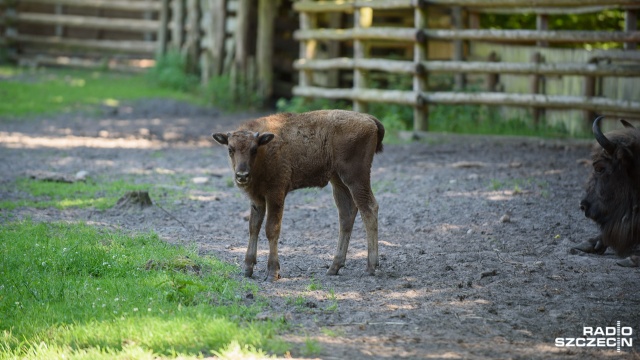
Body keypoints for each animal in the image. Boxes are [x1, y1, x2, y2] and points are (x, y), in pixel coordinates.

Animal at [212, 109, 384, 282]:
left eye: (254, 149)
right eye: (230, 149)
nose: (242, 175)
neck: (265, 148)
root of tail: (369, 119)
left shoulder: (276, 194)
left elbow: (271, 229)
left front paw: (272, 272)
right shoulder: (257, 199)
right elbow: (254, 227)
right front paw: (247, 268)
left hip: (355, 178)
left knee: (369, 208)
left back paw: (370, 267)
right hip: (338, 181)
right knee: (347, 214)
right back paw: (334, 267)